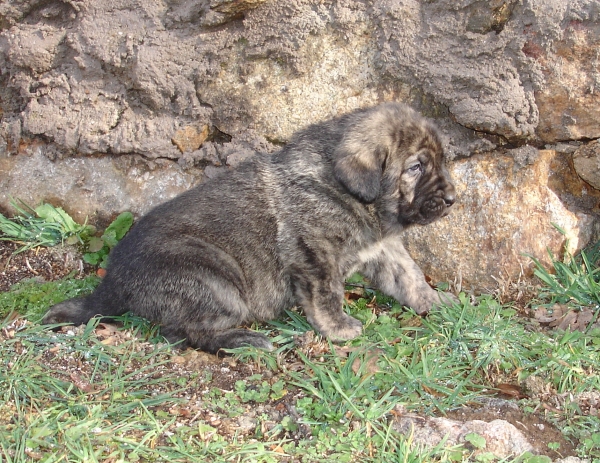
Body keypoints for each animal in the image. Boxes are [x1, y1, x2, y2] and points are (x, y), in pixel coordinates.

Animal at [43, 103, 454, 354]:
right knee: (185, 332)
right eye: (416, 167)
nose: (452, 198)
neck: (354, 195)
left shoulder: (385, 249)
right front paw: (338, 327)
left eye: (441, 162)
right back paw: (244, 339)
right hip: (215, 280)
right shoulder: (314, 252)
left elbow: (410, 276)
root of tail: (111, 282)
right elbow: (326, 294)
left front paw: (439, 303)